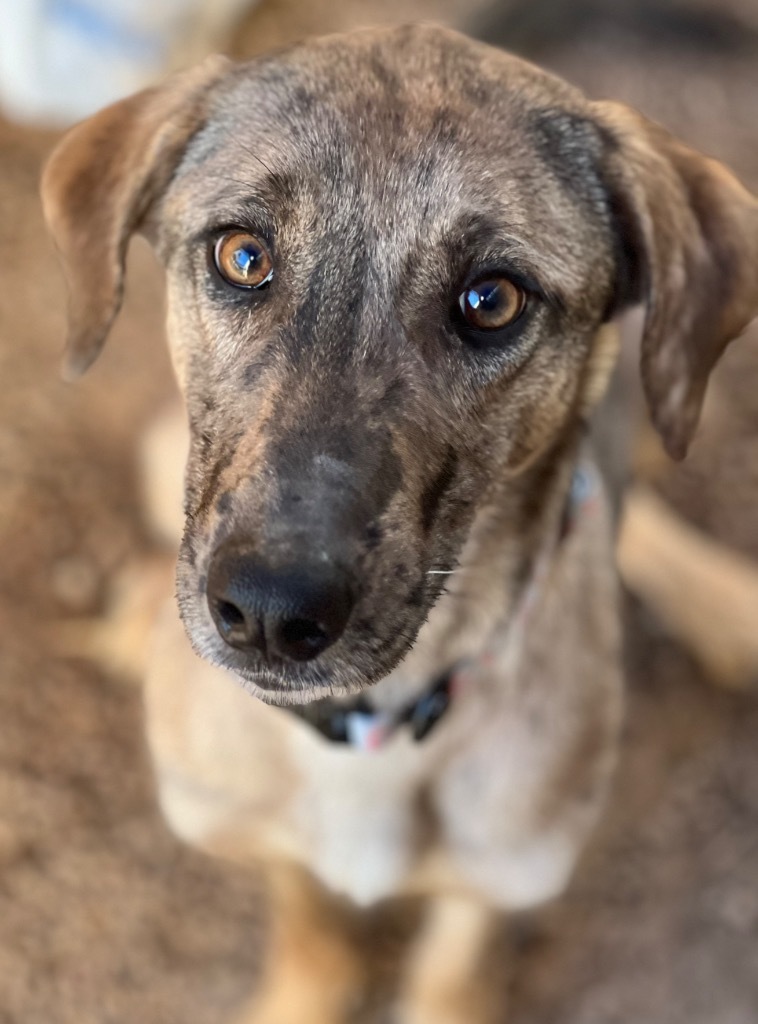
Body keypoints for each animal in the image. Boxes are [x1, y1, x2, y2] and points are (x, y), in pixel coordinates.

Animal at [43, 24, 758, 1024]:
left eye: (492, 299)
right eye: (242, 256)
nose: (270, 614)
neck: (370, 737)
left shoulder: (497, 882)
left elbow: (452, 975)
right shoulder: (258, 834)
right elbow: (308, 919)